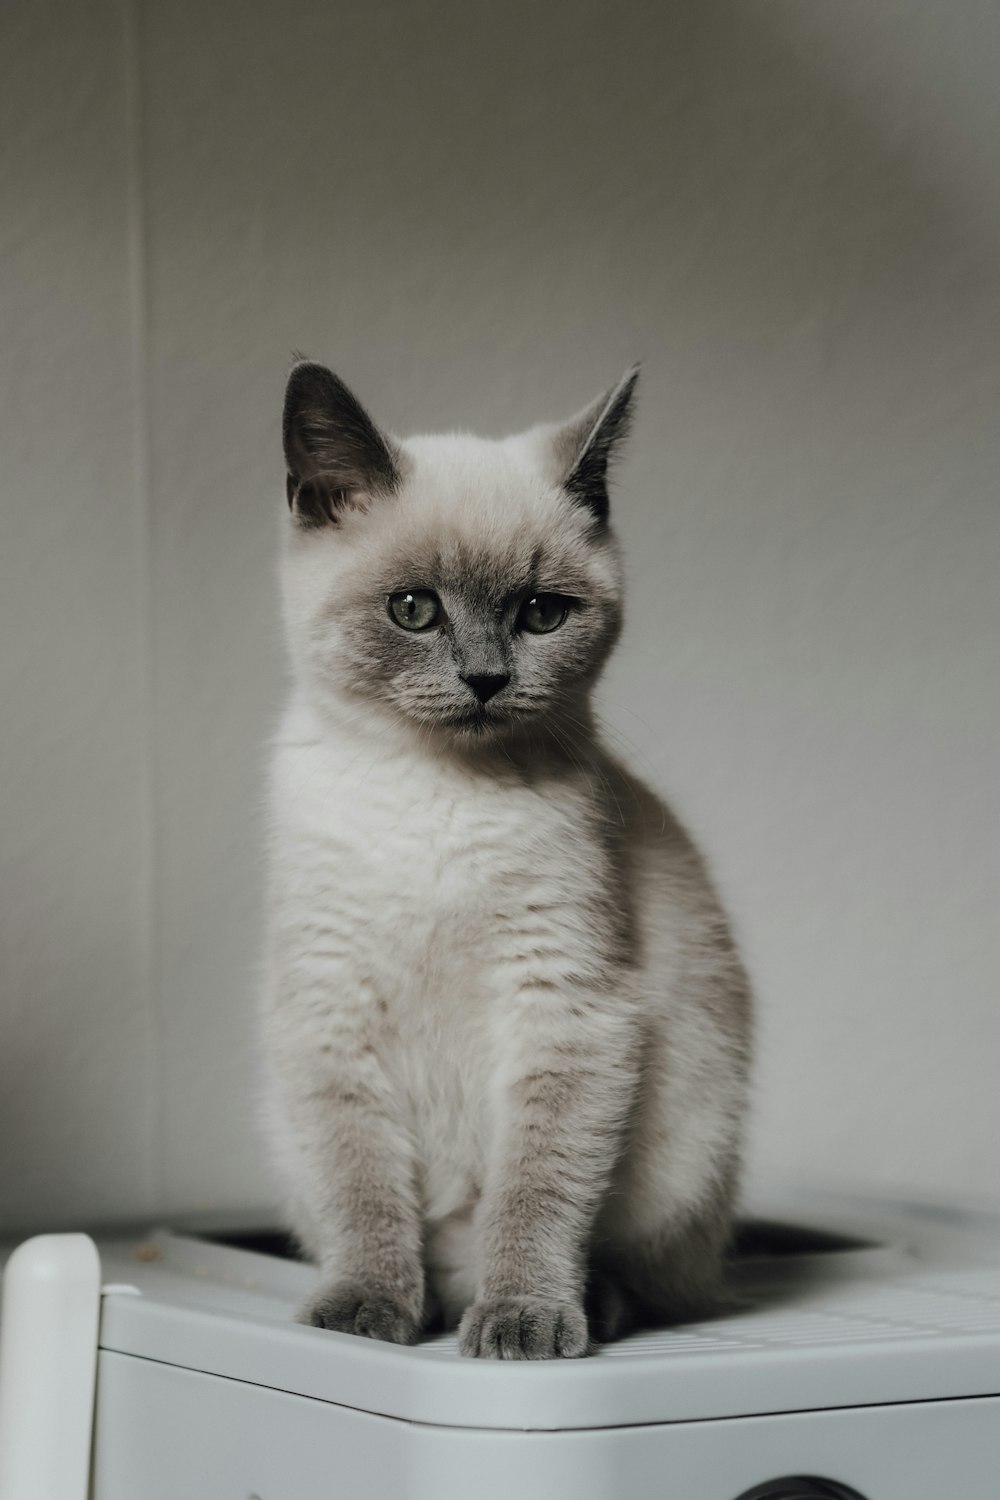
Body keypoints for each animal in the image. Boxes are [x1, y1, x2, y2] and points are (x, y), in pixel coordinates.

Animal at [257, 360, 749, 1362]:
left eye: (539, 614)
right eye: (413, 610)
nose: (486, 680)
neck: (439, 793)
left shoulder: (563, 1003)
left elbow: (536, 1190)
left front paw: (522, 1320)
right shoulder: (330, 1009)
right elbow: (362, 1188)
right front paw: (366, 1312)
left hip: (688, 1152)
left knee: (634, 1269)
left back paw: (573, 1306)